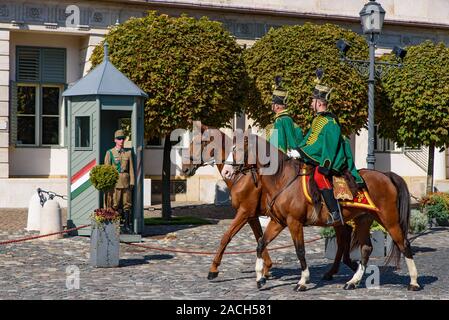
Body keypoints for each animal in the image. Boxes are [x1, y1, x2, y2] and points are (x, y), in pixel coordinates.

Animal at [178, 124, 356, 280]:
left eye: (202, 142)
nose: (185, 168)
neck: (241, 176)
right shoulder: (252, 216)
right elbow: (259, 237)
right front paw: (266, 268)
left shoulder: (245, 212)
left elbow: (226, 236)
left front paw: (214, 269)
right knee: (343, 238)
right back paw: (341, 268)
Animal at [223, 134, 420, 292]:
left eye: (237, 149)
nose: (225, 171)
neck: (283, 180)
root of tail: (386, 175)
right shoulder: (278, 222)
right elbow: (261, 244)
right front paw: (260, 278)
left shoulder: (294, 222)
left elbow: (300, 250)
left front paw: (302, 281)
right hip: (364, 220)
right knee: (366, 248)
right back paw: (353, 281)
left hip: (389, 219)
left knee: (404, 244)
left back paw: (414, 282)